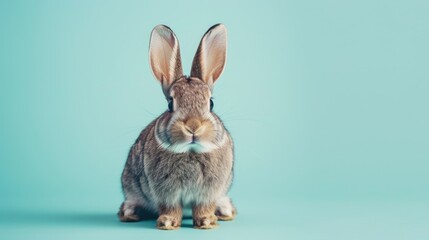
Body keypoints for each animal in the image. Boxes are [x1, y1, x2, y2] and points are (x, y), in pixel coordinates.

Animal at [117, 23, 236, 230]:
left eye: (211, 103)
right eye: (170, 104)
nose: (193, 126)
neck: (190, 150)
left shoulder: (209, 192)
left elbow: (204, 207)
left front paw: (206, 221)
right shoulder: (166, 192)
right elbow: (171, 207)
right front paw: (167, 223)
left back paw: (226, 212)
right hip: (130, 182)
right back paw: (130, 214)